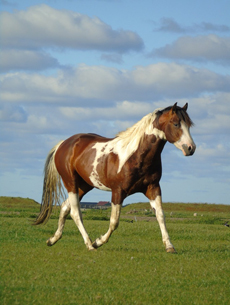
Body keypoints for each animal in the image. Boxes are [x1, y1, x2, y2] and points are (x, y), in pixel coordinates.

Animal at [34, 102, 196, 252]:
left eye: (189, 125)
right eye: (176, 123)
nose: (190, 148)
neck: (136, 156)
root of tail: (64, 144)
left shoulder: (153, 188)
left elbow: (161, 216)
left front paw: (169, 246)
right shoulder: (118, 192)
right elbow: (114, 222)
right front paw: (98, 242)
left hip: (84, 186)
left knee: (65, 207)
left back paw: (53, 239)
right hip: (71, 183)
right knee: (75, 213)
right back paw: (89, 244)